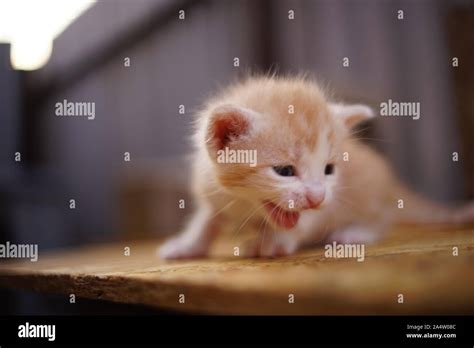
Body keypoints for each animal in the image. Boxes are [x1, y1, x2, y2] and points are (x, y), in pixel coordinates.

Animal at [159, 75, 474, 258]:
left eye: (329, 170)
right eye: (284, 171)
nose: (317, 196)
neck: (246, 203)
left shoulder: (328, 203)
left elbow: (308, 221)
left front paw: (273, 242)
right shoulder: (212, 190)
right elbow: (206, 221)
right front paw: (186, 245)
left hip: (371, 192)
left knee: (382, 217)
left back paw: (355, 232)